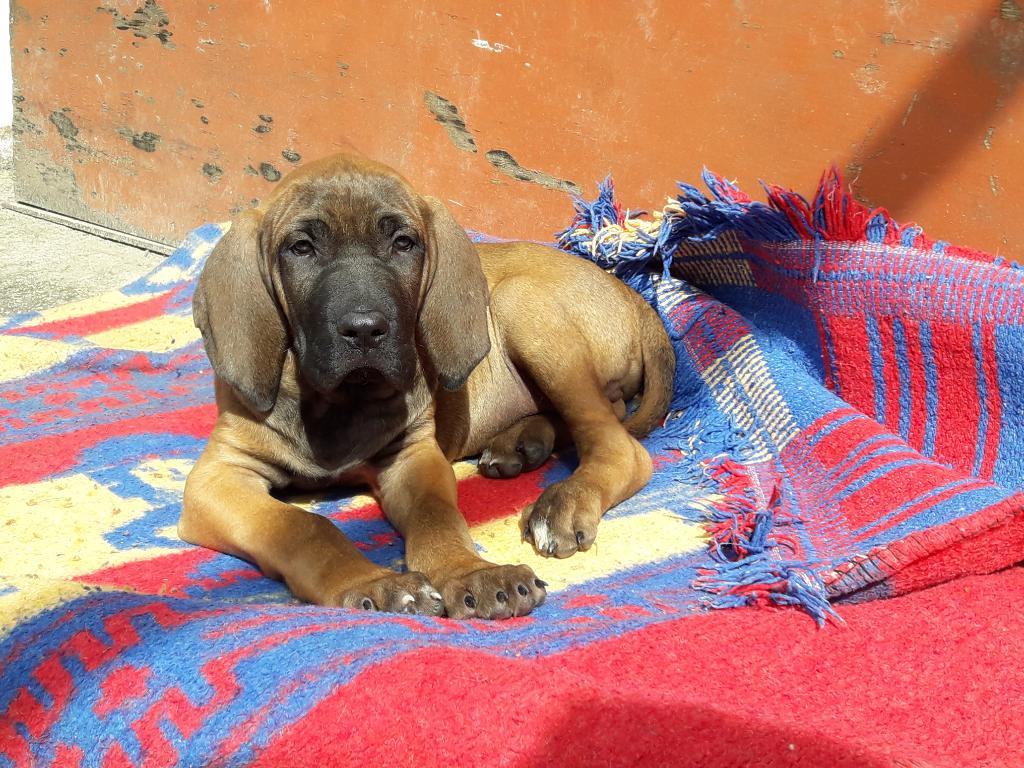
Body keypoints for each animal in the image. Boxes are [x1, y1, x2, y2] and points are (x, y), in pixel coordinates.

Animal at [180, 154, 675, 618]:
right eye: (300, 248)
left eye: (404, 243)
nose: (366, 330)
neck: (335, 404)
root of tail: (633, 295)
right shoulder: (218, 476)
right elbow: (307, 528)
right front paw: (374, 584)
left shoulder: (413, 455)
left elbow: (438, 518)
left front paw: (469, 573)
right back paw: (521, 442)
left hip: (520, 301)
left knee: (619, 444)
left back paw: (562, 500)